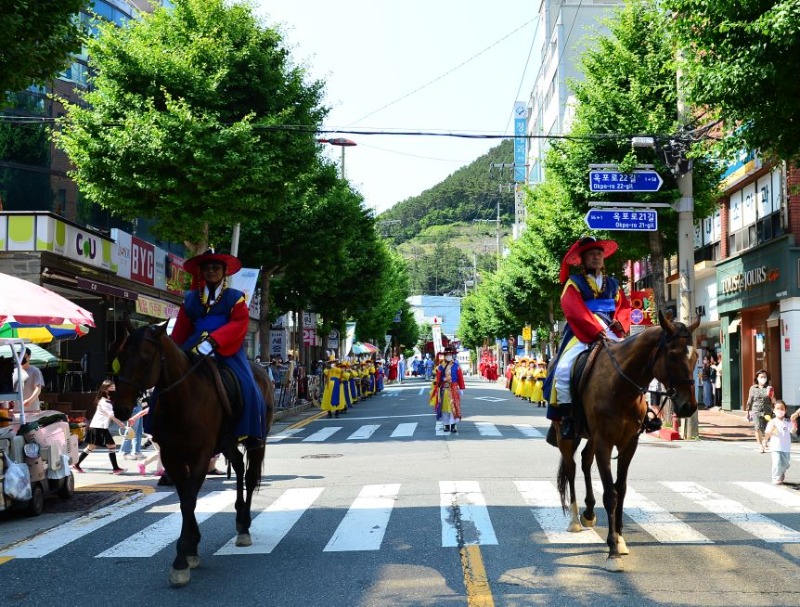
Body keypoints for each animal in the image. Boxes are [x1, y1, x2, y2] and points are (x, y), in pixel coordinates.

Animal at [111, 320, 276, 588]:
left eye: (145, 358)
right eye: (121, 357)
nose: (121, 409)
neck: (182, 400)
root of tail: (261, 369)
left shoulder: (200, 456)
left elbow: (189, 501)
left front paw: (181, 559)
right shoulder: (172, 457)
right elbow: (184, 500)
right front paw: (191, 548)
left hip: (257, 439)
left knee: (250, 477)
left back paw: (244, 527)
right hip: (227, 442)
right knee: (239, 467)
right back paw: (239, 518)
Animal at [552, 312, 696, 572]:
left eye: (696, 356)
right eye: (672, 355)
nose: (688, 406)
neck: (622, 387)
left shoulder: (628, 444)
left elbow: (622, 489)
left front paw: (619, 539)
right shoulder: (604, 442)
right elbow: (610, 494)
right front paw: (612, 552)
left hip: (591, 437)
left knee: (585, 461)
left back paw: (589, 512)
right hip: (566, 435)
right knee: (571, 467)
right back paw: (575, 520)